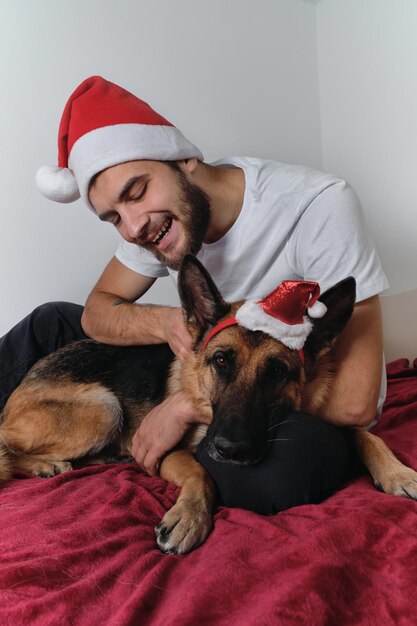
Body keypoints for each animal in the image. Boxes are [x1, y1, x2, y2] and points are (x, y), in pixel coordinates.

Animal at [0, 254, 416, 552]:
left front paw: (397, 472)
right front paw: (189, 517)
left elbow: (364, 433)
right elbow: (201, 473)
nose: (231, 449)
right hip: (105, 409)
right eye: (220, 361)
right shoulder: (167, 452)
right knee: (6, 445)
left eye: (277, 371)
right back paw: (46, 464)